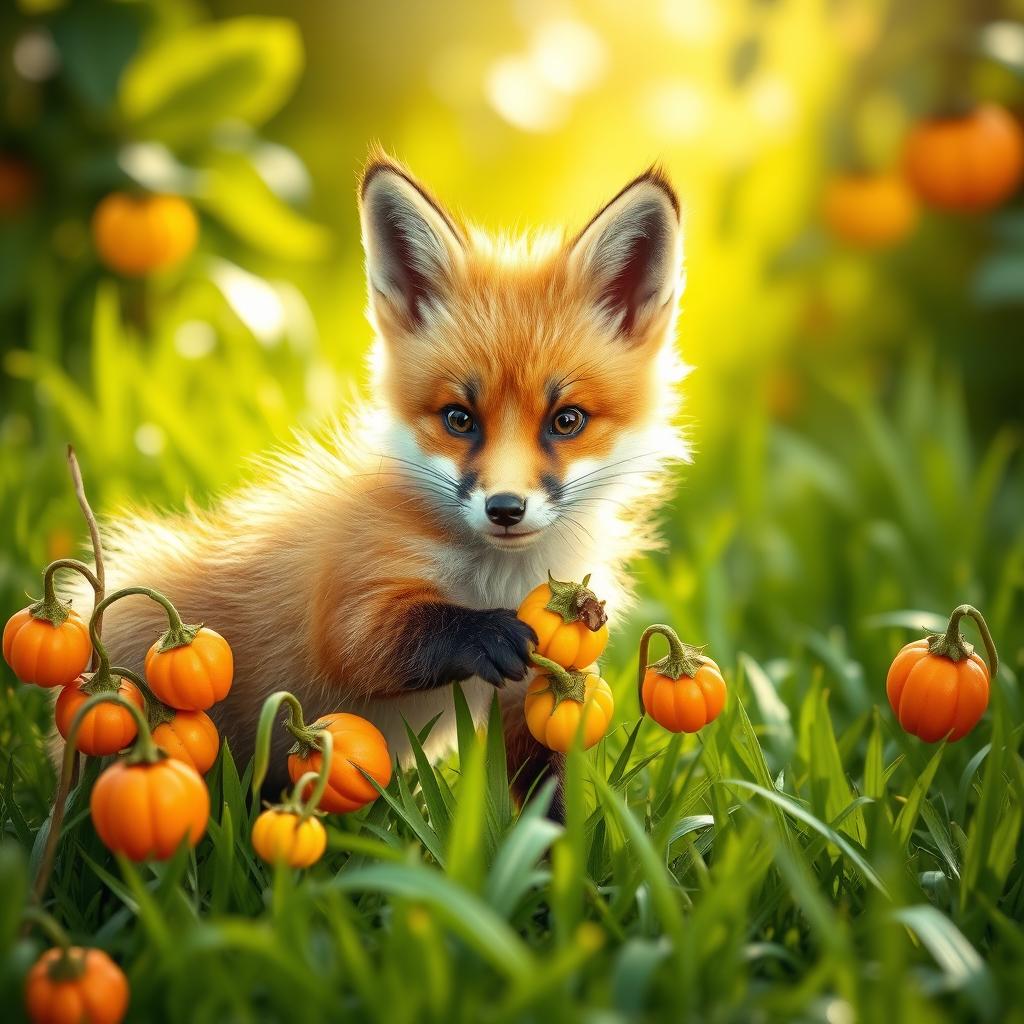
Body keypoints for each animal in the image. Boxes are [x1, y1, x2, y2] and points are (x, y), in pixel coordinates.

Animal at [74, 151, 688, 815]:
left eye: (566, 420)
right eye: (459, 419)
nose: (505, 509)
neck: (496, 580)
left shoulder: (531, 699)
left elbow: (547, 809)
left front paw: (565, 849)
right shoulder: (350, 592)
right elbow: (378, 640)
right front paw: (484, 632)